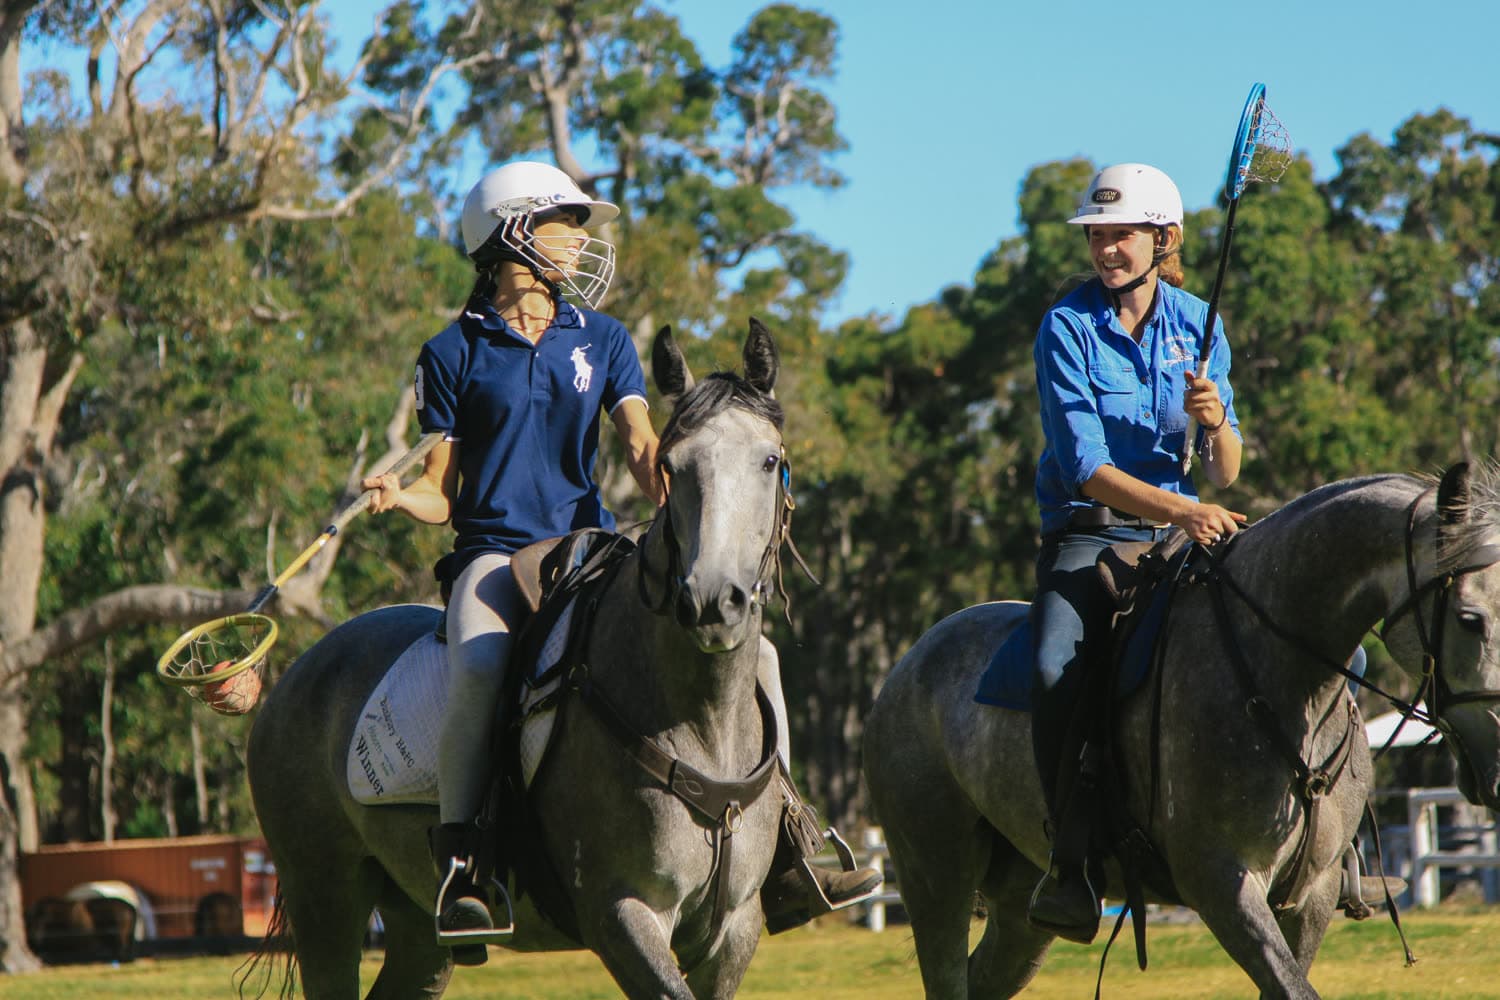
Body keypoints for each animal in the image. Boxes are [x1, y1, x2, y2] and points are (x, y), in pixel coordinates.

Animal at [247, 320, 802, 999]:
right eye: (671, 466)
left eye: (770, 460)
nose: (710, 602)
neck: (699, 720)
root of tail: (291, 680)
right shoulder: (620, 913)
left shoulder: (735, 928)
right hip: (324, 894)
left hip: (413, 924)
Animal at [862, 462, 1500, 999]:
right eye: (1471, 619)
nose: (1495, 771)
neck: (1274, 671)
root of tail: (908, 665)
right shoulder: (1222, 884)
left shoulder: (1309, 898)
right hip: (935, 879)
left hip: (1020, 906)